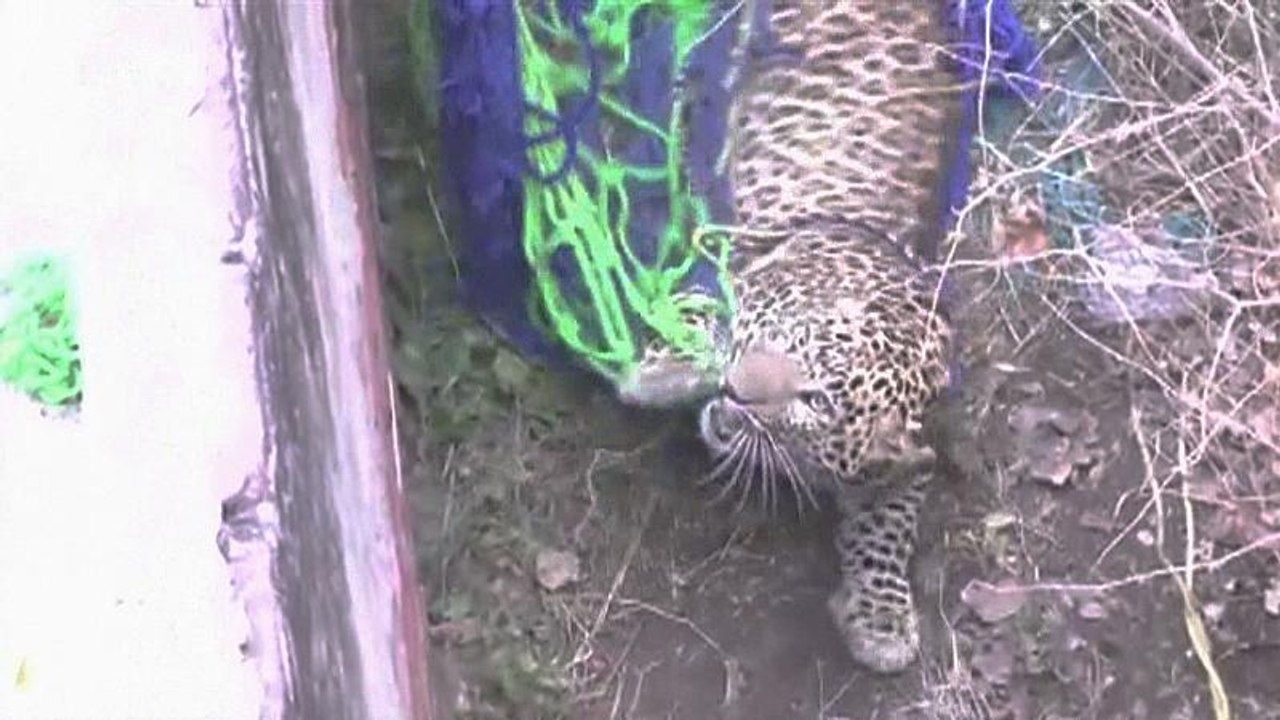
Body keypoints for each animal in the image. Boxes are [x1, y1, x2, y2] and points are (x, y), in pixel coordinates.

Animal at [622, 0, 968, 675]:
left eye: (816, 402)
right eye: (791, 336)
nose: (737, 390)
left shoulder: (909, 456)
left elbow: (890, 525)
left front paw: (881, 618)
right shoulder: (749, 264)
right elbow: (708, 317)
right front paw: (660, 373)